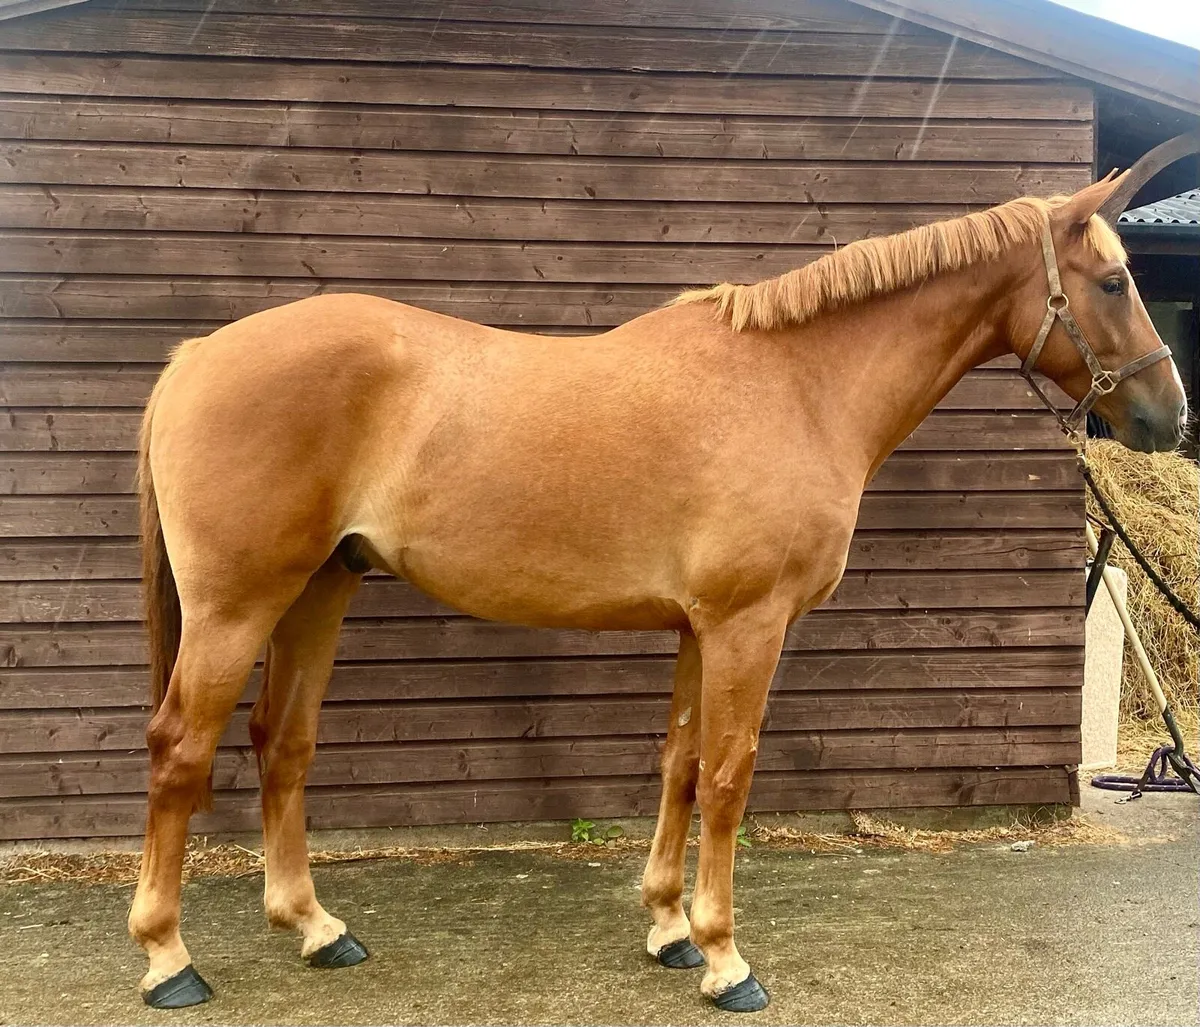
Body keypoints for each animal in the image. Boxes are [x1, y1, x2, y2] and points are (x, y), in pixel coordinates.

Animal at [127, 173, 1185, 1012]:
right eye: (1115, 281)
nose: (1170, 417)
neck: (798, 384)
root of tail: (194, 358)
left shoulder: (697, 628)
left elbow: (680, 764)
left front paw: (670, 931)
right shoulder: (748, 625)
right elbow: (727, 777)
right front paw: (725, 959)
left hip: (317, 589)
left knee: (283, 742)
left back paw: (315, 926)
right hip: (236, 606)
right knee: (181, 749)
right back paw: (169, 960)